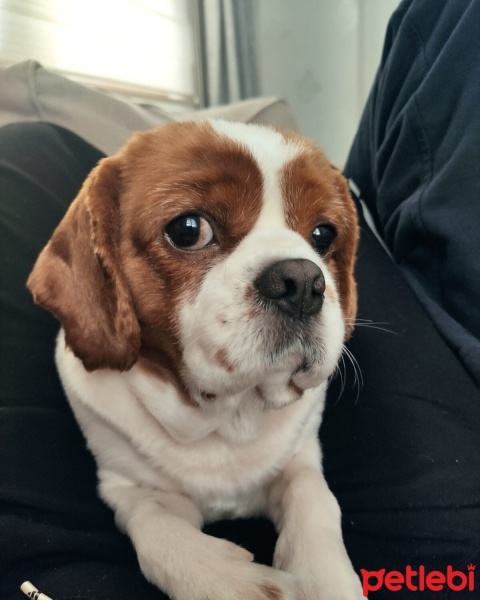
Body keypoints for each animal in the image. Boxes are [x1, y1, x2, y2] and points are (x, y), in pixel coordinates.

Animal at [27, 119, 360, 596]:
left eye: (323, 235)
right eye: (188, 229)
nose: (301, 280)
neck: (223, 418)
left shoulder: (300, 459)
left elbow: (314, 499)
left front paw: (326, 579)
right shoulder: (127, 486)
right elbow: (156, 528)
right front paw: (233, 582)